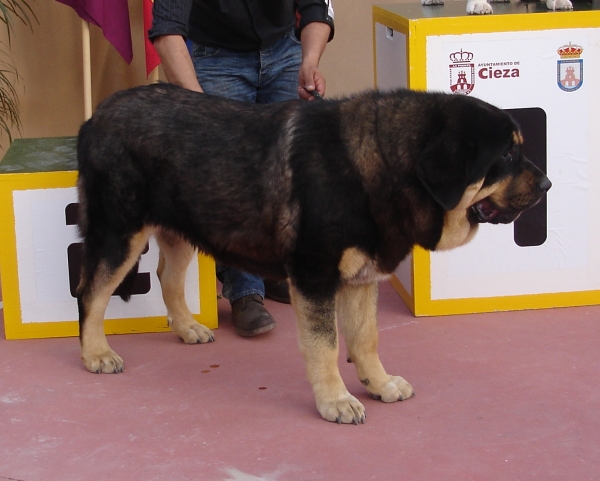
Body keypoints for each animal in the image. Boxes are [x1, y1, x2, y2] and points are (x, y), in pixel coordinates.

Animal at [77, 84, 552, 422]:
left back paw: (186, 327)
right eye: (508, 153)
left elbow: (366, 338)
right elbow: (325, 345)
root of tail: (96, 116)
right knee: (90, 293)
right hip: (119, 233)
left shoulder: (361, 277)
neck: (382, 167)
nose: (547, 184)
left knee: (167, 278)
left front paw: (378, 383)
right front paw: (335, 401)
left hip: (176, 229)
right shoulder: (315, 274)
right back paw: (96, 353)